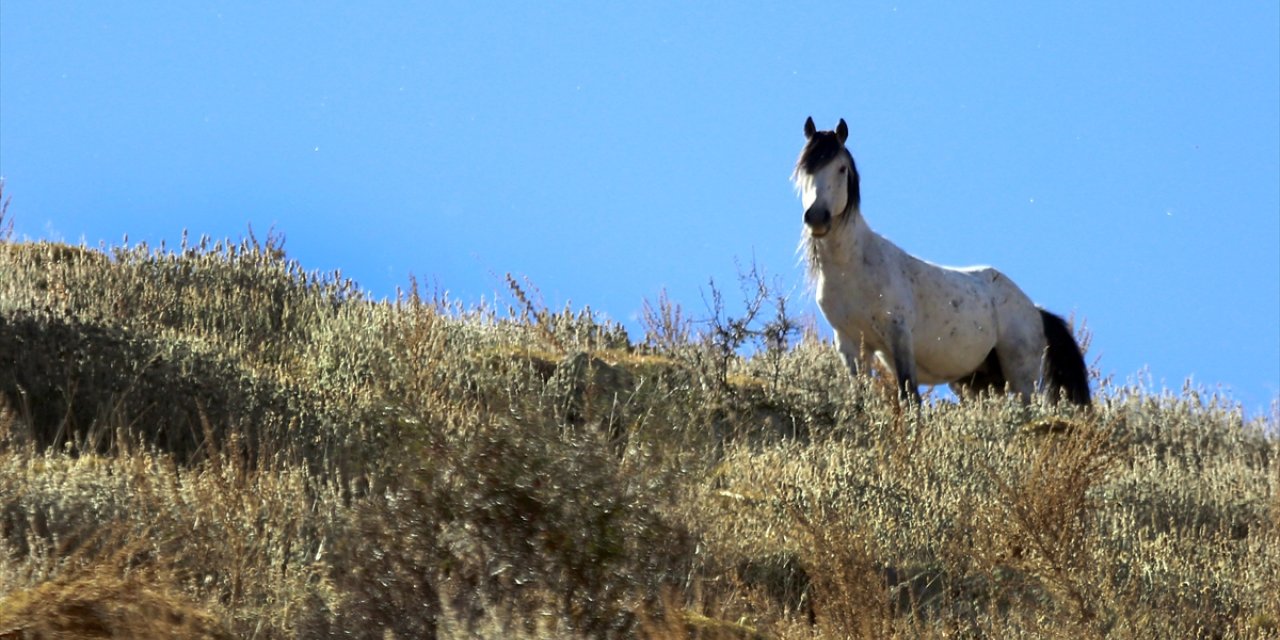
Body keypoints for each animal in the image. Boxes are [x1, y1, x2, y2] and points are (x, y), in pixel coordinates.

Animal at [793, 116, 1085, 404]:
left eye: (841, 169)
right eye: (803, 170)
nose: (817, 217)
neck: (853, 268)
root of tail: (1035, 310)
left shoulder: (899, 336)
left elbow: (909, 395)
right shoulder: (850, 344)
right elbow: (860, 399)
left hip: (1021, 376)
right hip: (979, 382)